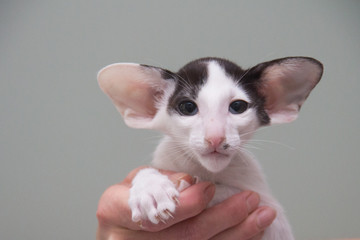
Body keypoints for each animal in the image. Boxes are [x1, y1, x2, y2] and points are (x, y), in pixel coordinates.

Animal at [97, 56, 324, 240]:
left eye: (238, 107)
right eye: (188, 107)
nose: (215, 138)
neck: (207, 170)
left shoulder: (274, 218)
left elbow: (230, 191)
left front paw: (197, 187)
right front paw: (151, 189)